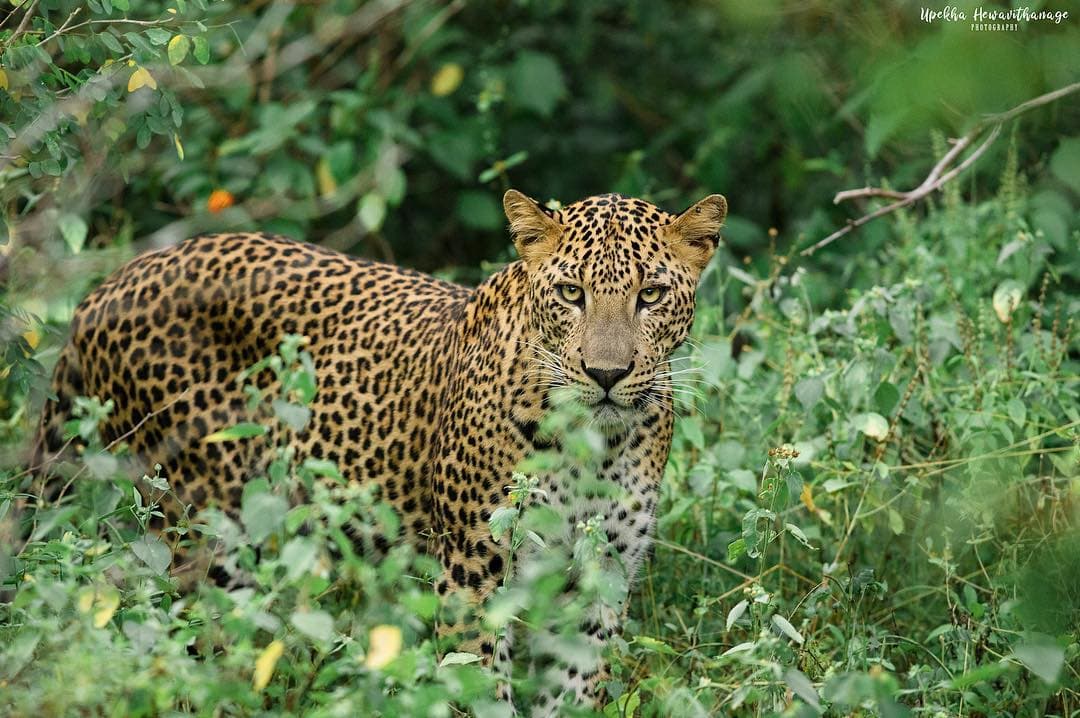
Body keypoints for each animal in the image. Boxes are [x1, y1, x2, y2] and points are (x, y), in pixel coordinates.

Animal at [33, 189, 727, 713]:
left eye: (651, 295)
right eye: (571, 294)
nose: (606, 374)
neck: (594, 448)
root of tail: (113, 282)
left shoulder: (603, 576)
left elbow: (575, 688)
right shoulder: (474, 571)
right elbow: (476, 685)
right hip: (204, 531)